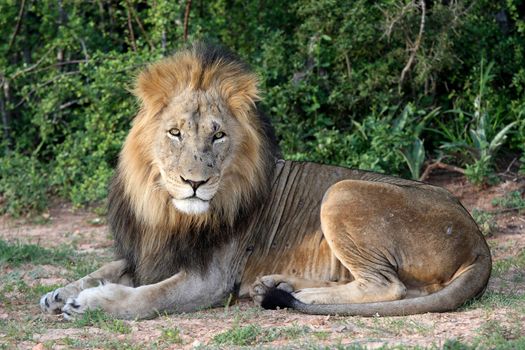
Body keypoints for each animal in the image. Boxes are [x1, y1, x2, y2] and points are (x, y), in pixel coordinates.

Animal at [39, 43, 490, 320]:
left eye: (218, 136)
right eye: (175, 133)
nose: (194, 183)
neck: (169, 211)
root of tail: (479, 242)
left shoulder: (210, 280)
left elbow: (150, 296)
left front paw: (89, 304)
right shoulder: (150, 254)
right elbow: (106, 267)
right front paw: (60, 292)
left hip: (341, 192)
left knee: (390, 287)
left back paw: (300, 295)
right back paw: (277, 284)